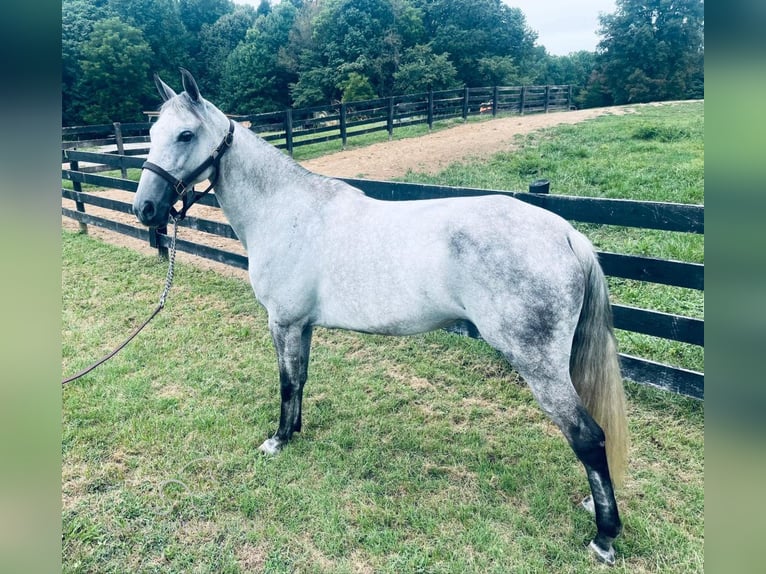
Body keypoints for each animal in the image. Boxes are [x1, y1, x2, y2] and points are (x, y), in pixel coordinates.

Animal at [134, 71, 632, 568]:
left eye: (185, 135)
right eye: (152, 134)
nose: (144, 209)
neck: (286, 212)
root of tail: (566, 234)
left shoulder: (284, 323)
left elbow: (286, 382)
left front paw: (277, 440)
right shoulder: (303, 326)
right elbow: (302, 379)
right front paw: (295, 431)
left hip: (538, 365)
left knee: (588, 437)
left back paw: (604, 536)